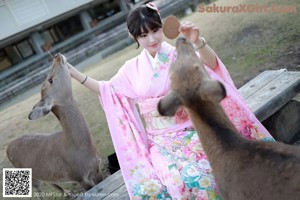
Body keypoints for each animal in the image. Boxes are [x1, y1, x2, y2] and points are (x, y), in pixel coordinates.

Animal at [5, 52, 102, 196]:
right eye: (50, 80)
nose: (56, 55)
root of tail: (7, 148)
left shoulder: (97, 169)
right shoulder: (80, 177)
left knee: (50, 181)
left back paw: (67, 192)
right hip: (28, 174)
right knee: (38, 189)